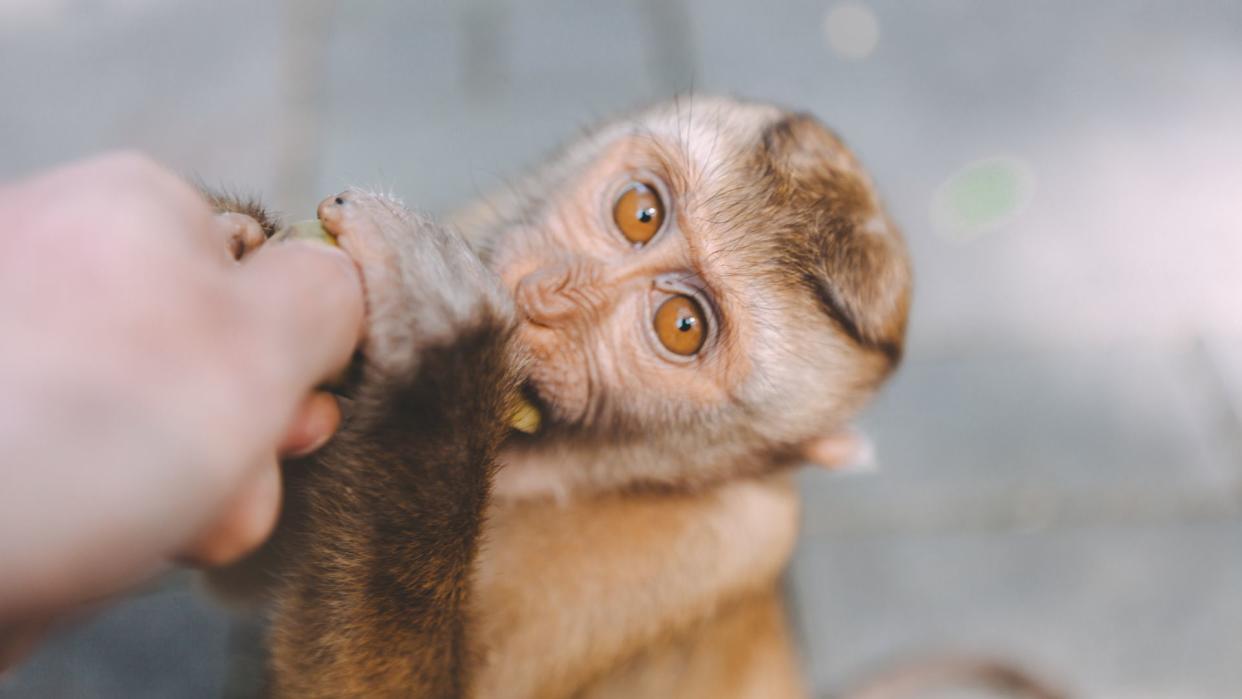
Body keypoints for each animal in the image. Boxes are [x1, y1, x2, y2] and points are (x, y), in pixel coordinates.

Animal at [213, 94, 914, 699]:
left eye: (682, 327)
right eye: (640, 213)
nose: (544, 299)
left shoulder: (721, 539)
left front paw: (443, 353)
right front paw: (234, 236)